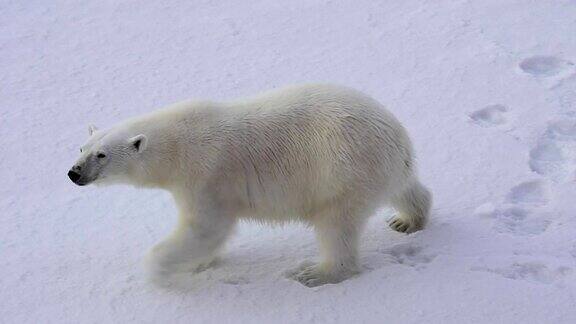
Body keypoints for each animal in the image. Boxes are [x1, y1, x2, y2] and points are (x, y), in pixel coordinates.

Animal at [68, 83, 428, 286]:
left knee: (336, 225)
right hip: (382, 170)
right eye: (81, 148)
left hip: (343, 173)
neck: (176, 144)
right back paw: (408, 220)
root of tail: (398, 139)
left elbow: (206, 228)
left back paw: (315, 273)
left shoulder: (205, 176)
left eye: (102, 155)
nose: (74, 173)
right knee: (407, 189)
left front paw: (159, 271)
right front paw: (196, 263)